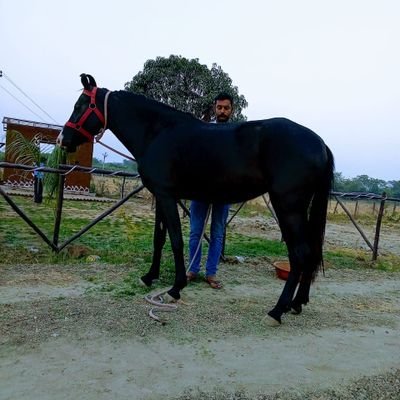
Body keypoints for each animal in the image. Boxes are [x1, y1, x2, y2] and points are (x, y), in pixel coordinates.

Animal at [57, 74, 334, 324]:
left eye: (80, 105)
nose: (63, 140)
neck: (157, 132)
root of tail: (320, 143)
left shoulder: (167, 196)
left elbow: (176, 240)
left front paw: (175, 288)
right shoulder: (161, 196)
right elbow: (159, 239)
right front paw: (150, 277)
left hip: (288, 206)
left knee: (300, 253)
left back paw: (277, 311)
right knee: (309, 253)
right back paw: (297, 303)